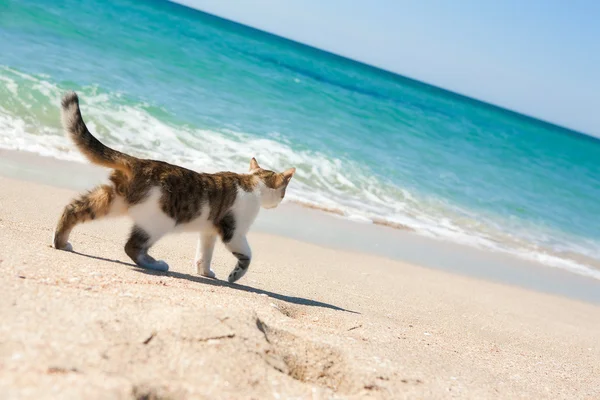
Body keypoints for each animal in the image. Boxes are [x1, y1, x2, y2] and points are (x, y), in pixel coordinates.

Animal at [52, 92, 296, 282]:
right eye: (283, 193)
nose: (279, 202)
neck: (254, 182)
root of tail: (139, 163)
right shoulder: (234, 232)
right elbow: (247, 256)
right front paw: (234, 276)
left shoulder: (209, 230)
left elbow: (204, 254)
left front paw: (205, 272)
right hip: (160, 220)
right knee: (132, 246)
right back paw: (156, 264)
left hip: (113, 200)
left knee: (73, 209)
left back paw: (61, 243)